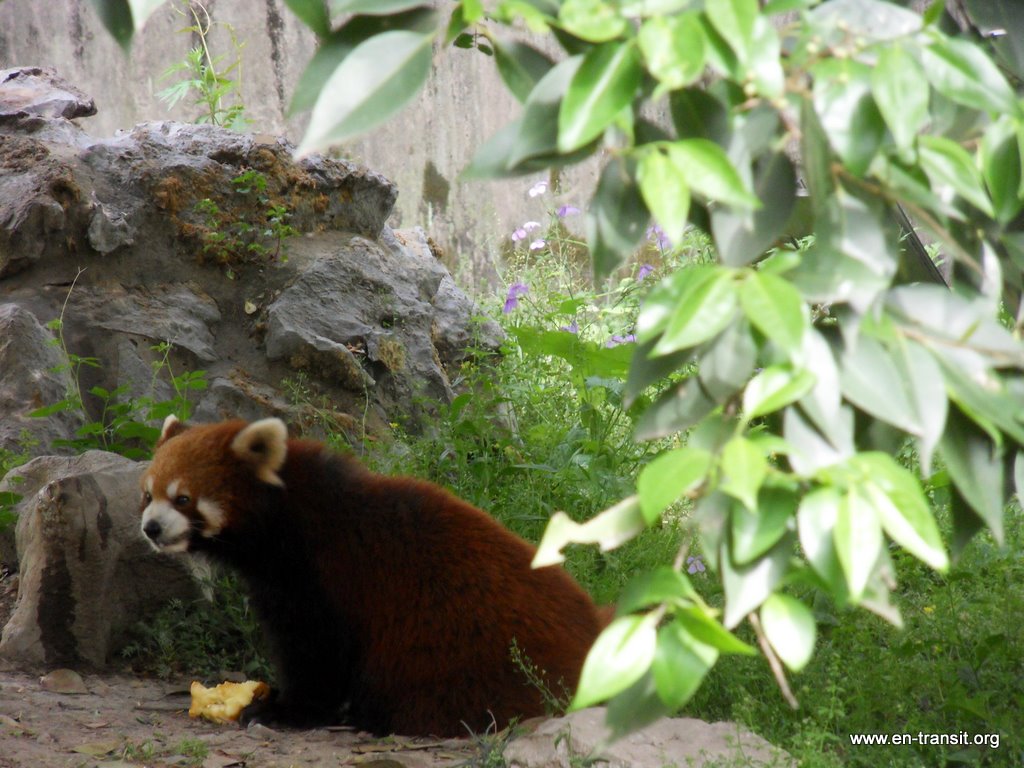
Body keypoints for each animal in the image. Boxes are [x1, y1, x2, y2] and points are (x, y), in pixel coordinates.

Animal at [139, 416, 604, 736]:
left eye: (183, 499)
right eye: (148, 494)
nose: (151, 528)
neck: (286, 517)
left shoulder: (322, 575)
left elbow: (317, 651)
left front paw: (284, 710)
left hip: (461, 651)